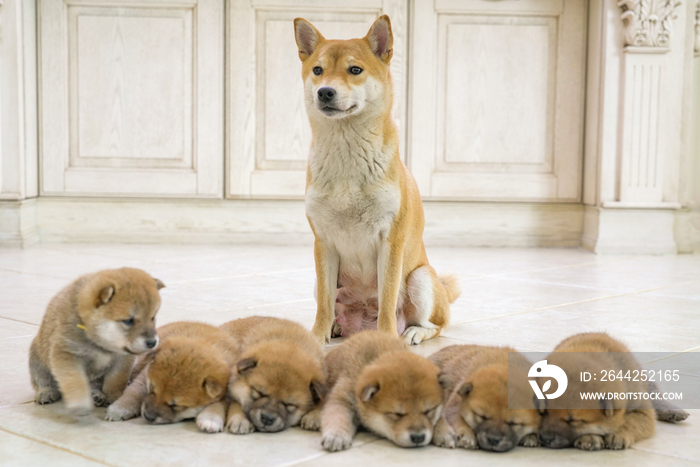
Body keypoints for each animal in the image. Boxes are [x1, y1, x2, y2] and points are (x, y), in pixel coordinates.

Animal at [29, 268, 164, 418]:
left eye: (152, 317)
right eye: (129, 321)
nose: (152, 342)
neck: (101, 344)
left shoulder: (123, 359)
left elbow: (116, 380)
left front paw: (114, 398)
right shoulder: (67, 354)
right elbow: (74, 380)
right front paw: (79, 403)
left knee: (95, 384)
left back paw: (97, 395)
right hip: (37, 360)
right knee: (43, 380)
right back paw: (46, 392)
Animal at [104, 322, 243, 436]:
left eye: (175, 405)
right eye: (152, 389)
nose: (148, 416)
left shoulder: (227, 394)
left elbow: (218, 405)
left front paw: (210, 419)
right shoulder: (143, 376)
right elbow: (134, 392)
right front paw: (120, 408)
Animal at [294, 15, 462, 348]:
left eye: (355, 70)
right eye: (318, 70)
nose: (325, 92)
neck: (346, 154)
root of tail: (360, 322)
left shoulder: (390, 240)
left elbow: (387, 298)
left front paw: (386, 339)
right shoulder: (324, 243)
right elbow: (323, 305)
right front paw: (317, 336)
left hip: (421, 278)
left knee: (435, 324)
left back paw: (411, 333)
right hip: (320, 281)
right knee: (332, 306)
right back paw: (336, 328)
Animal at [316, 330, 446, 452]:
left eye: (428, 411)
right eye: (397, 414)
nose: (418, 437)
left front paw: (443, 430)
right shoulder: (343, 399)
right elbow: (338, 416)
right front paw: (336, 436)